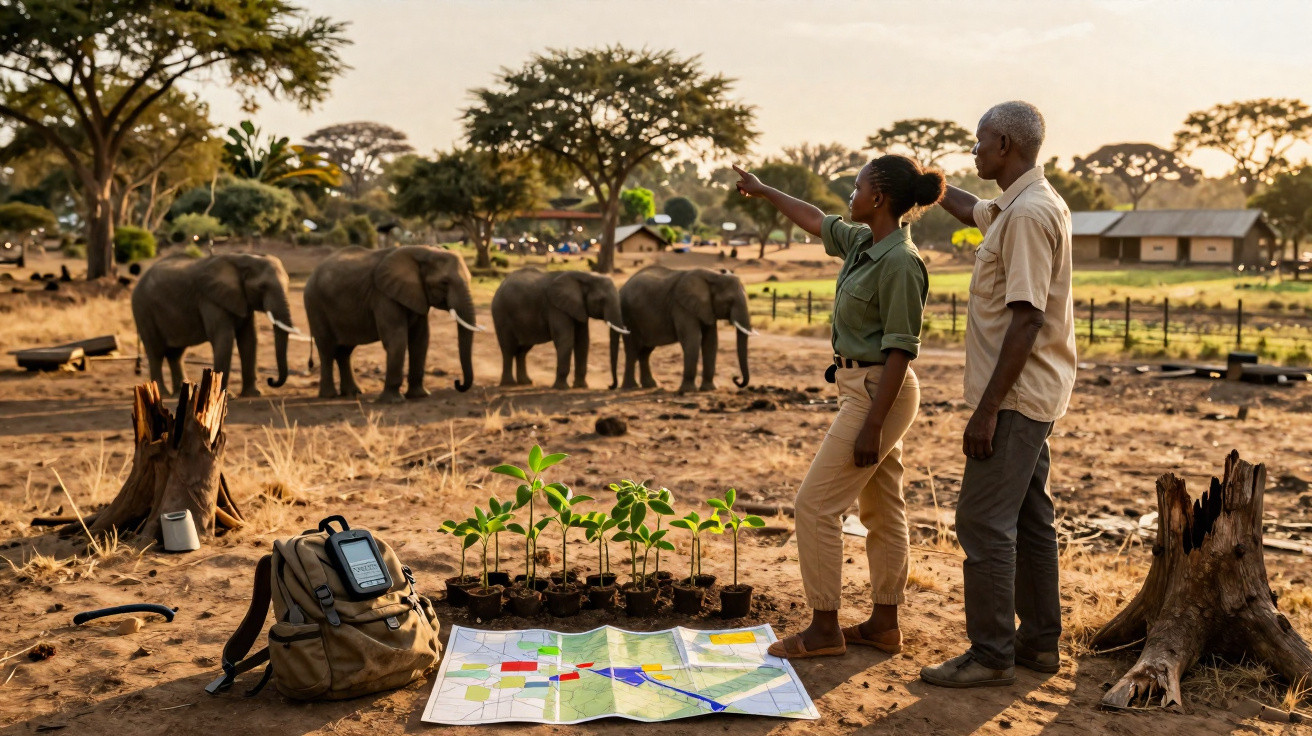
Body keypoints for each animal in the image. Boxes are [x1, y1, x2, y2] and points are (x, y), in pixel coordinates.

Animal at [131, 253, 293, 397]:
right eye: (262, 287)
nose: (271, 380)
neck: (242, 259)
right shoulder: (210, 299)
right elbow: (224, 338)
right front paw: (224, 396)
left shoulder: (243, 300)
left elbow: (249, 339)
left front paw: (254, 394)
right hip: (143, 310)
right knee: (156, 352)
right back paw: (163, 394)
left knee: (176, 354)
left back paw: (180, 393)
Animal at [303, 245, 477, 402]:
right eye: (444, 282)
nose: (458, 383)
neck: (424, 252)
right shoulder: (383, 296)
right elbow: (397, 339)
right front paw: (393, 400)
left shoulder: (417, 295)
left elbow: (421, 340)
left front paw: (420, 396)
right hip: (315, 305)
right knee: (327, 350)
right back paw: (329, 396)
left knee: (345, 351)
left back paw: (353, 393)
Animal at [490, 268, 628, 389]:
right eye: (601, 300)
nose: (610, 386)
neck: (585, 276)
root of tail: (500, 285)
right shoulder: (556, 307)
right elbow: (565, 339)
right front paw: (562, 388)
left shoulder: (579, 307)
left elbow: (583, 341)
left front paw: (581, 386)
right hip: (501, 314)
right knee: (508, 349)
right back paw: (509, 384)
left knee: (522, 350)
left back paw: (526, 382)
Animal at [618, 265, 754, 393]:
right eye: (730, 301)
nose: (736, 379)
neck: (714, 276)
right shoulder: (681, 306)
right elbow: (693, 338)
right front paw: (688, 390)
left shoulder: (707, 308)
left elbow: (711, 341)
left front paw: (709, 389)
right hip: (628, 316)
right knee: (632, 350)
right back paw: (630, 387)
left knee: (645, 351)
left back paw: (650, 385)